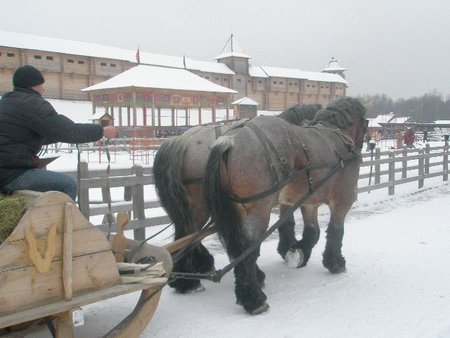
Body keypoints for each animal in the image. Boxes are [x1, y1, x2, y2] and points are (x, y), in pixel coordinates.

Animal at [204, 97, 366, 314]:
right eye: (365, 125)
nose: (363, 147)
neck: (336, 135)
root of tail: (229, 140)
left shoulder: (309, 202)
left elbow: (312, 232)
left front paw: (298, 253)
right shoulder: (342, 201)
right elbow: (335, 231)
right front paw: (334, 262)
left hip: (237, 211)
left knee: (237, 250)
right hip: (259, 211)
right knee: (248, 251)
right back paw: (254, 299)